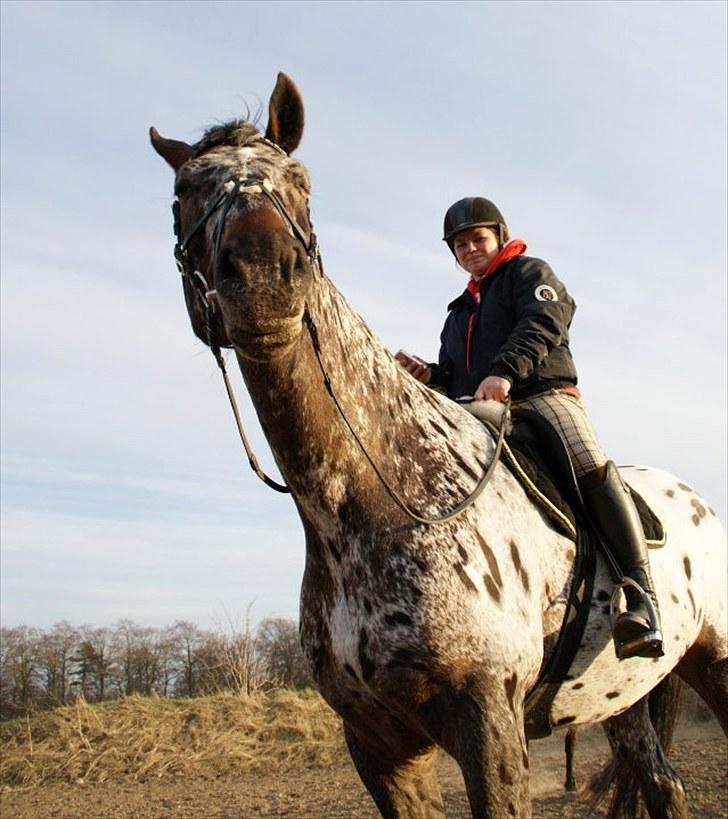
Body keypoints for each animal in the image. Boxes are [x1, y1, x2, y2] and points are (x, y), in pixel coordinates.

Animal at [149, 73, 728, 816]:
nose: (262, 273)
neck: (377, 502)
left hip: (715, 662)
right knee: (663, 785)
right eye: (183, 192)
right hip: (621, 701)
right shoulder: (379, 744)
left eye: (301, 182)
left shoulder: (490, 726)